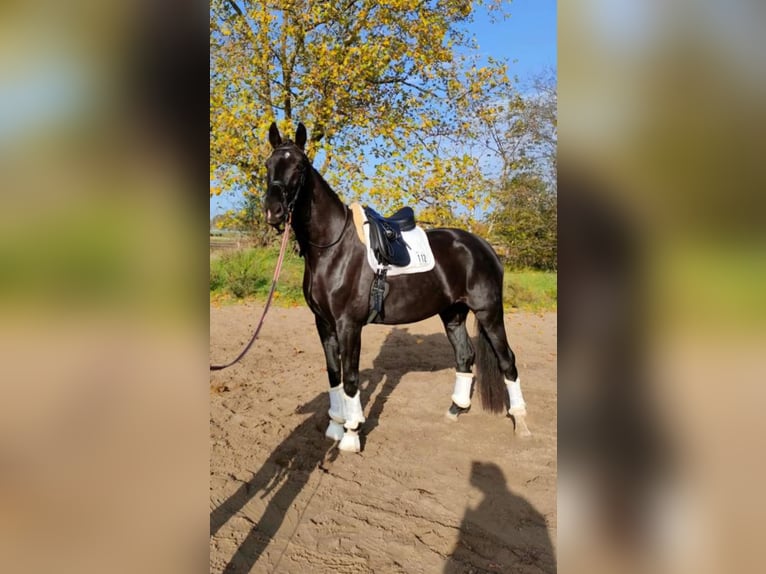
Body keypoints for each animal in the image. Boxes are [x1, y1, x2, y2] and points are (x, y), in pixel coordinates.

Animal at [261, 122, 530, 452]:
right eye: (268, 164)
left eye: (299, 166)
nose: (273, 210)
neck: (332, 248)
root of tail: (483, 246)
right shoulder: (323, 324)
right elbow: (334, 375)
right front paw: (335, 427)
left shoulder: (349, 325)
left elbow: (350, 378)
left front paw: (351, 435)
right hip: (453, 313)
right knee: (465, 356)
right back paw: (455, 409)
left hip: (489, 312)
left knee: (508, 360)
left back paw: (520, 422)